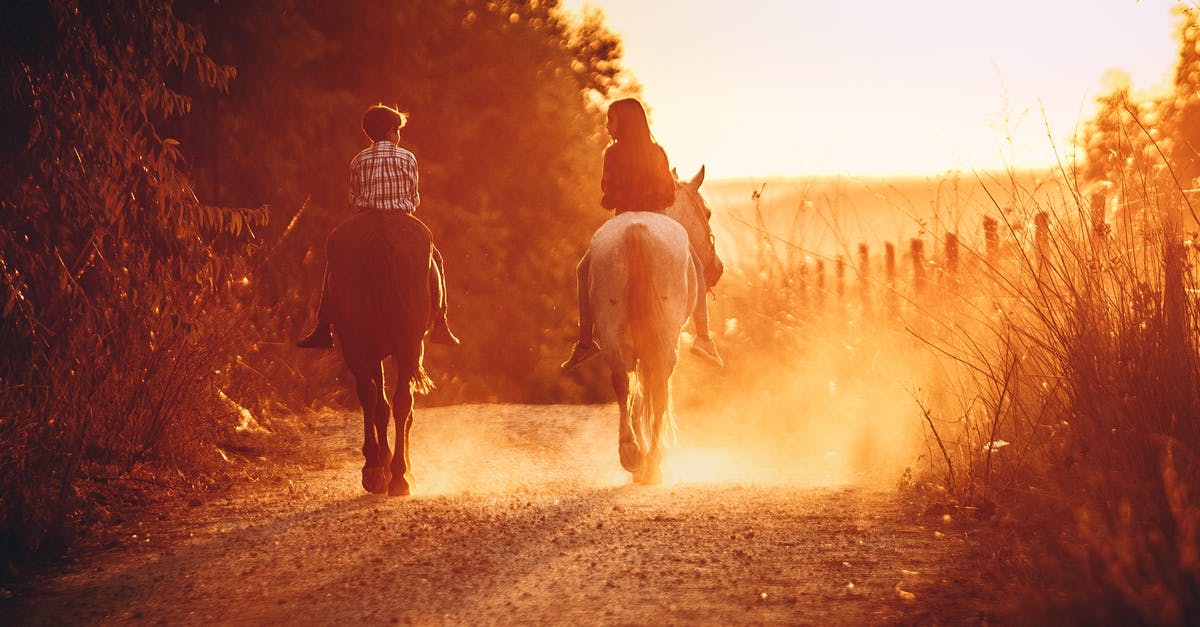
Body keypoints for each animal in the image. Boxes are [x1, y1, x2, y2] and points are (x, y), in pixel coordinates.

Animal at [328, 209, 436, 492]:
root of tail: (379, 237)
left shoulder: (376, 353)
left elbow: (380, 406)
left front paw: (383, 464)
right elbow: (396, 408)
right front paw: (401, 468)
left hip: (357, 347)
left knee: (369, 396)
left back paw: (375, 471)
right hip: (407, 347)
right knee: (401, 404)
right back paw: (398, 477)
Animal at [590, 163, 720, 480]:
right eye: (708, 212)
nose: (718, 267)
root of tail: (636, 230)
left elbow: (637, 394)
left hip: (613, 332)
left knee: (622, 380)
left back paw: (631, 453)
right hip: (664, 338)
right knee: (658, 384)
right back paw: (652, 463)